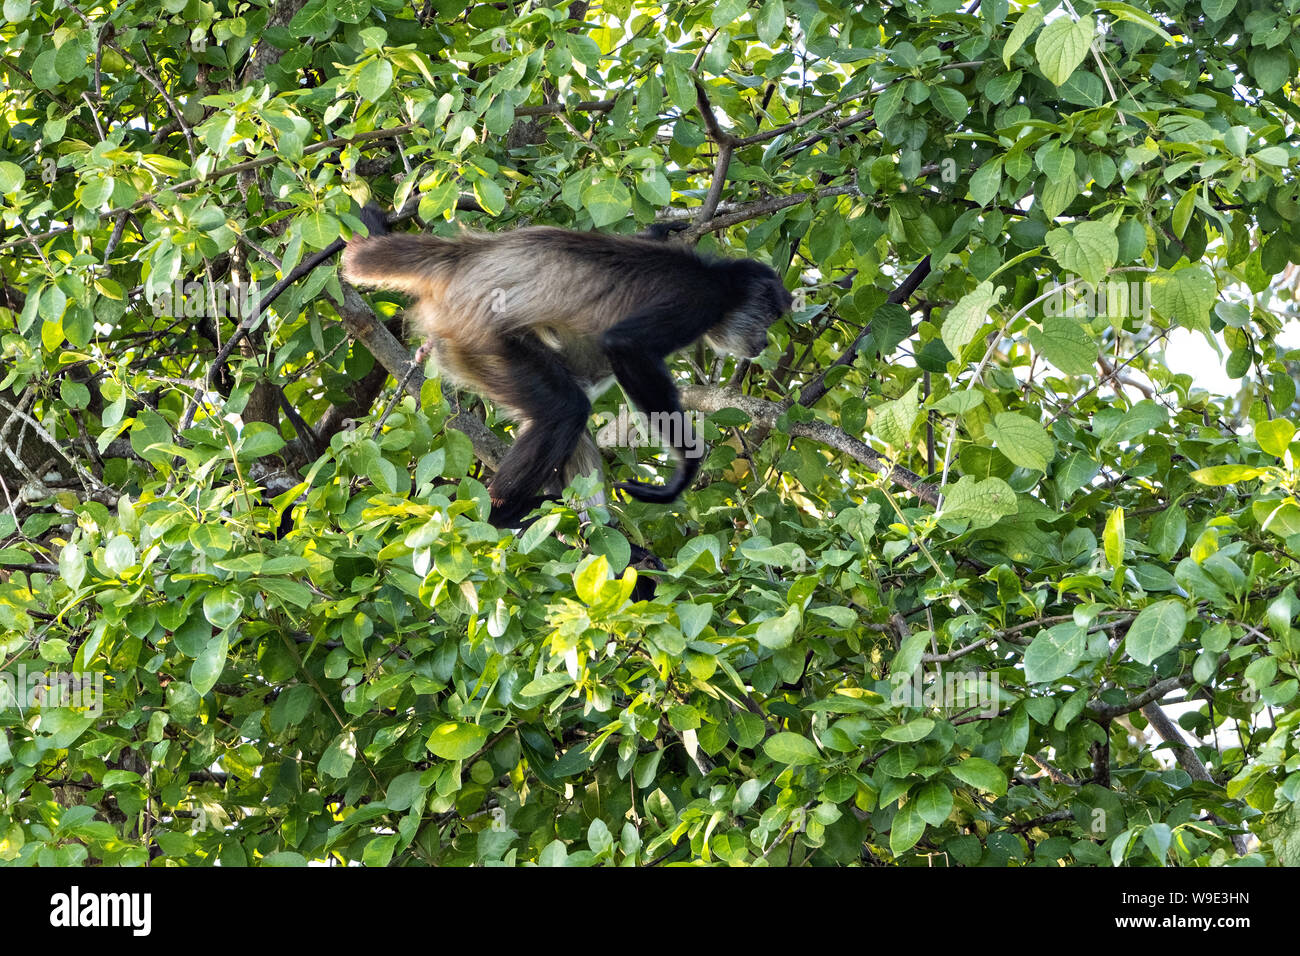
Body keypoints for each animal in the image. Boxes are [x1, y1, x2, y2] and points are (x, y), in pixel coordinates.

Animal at [345, 204, 785, 528]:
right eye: (769, 318)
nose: (764, 342)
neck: (717, 278)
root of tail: (465, 259)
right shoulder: (701, 298)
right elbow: (625, 346)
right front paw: (683, 472)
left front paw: (656, 231)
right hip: (479, 337)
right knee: (566, 410)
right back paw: (500, 514)